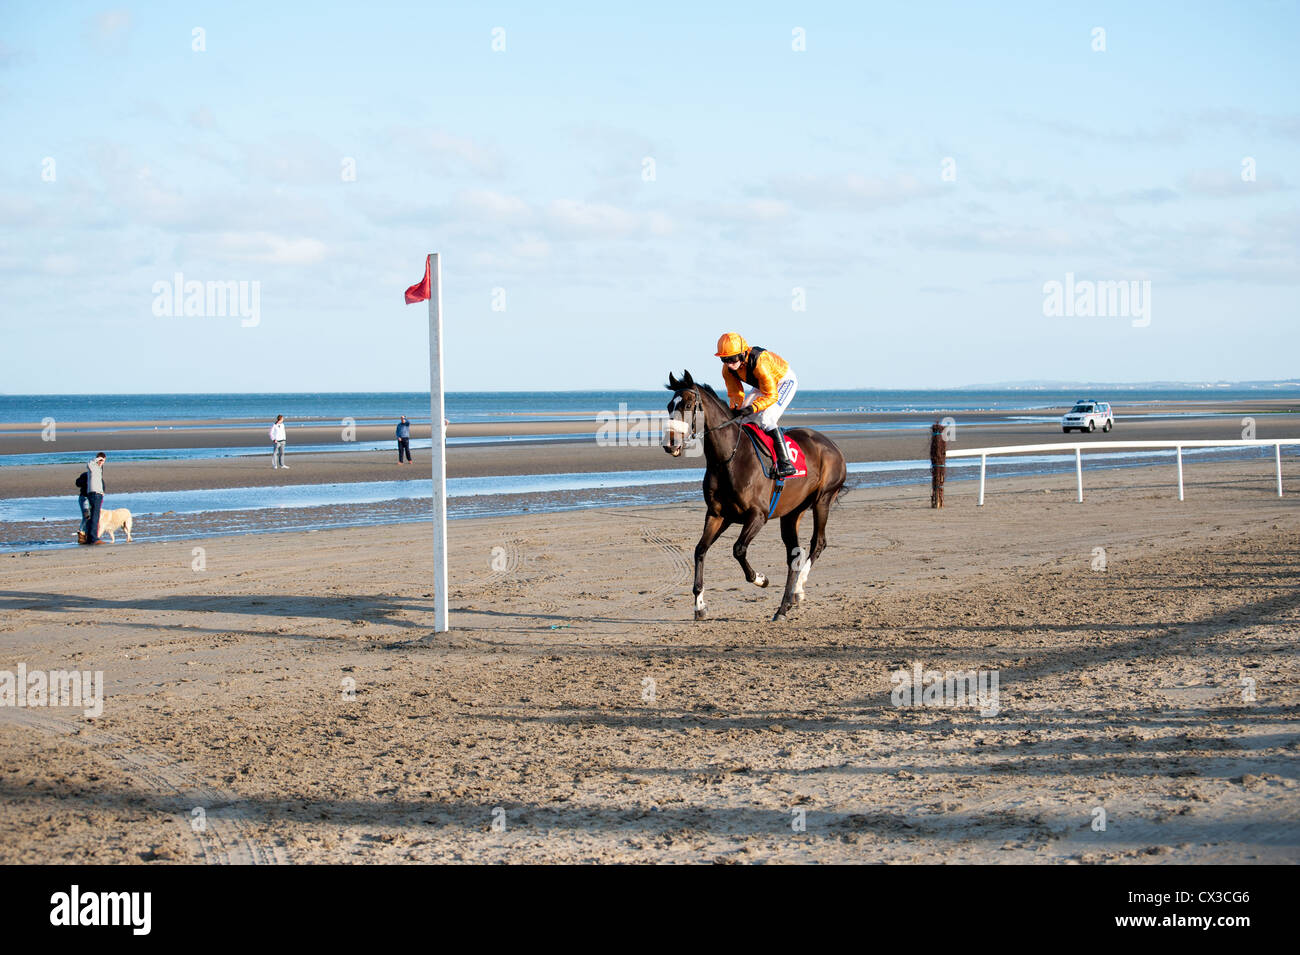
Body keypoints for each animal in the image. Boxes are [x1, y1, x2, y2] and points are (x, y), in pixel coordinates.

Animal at [665, 369, 847, 623]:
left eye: (689, 404)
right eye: (669, 405)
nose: (670, 444)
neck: (728, 458)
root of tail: (833, 446)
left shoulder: (758, 515)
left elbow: (738, 549)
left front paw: (761, 579)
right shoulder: (718, 515)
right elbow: (700, 550)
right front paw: (699, 605)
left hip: (823, 500)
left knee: (818, 543)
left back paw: (798, 589)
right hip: (792, 513)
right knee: (794, 554)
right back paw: (783, 607)